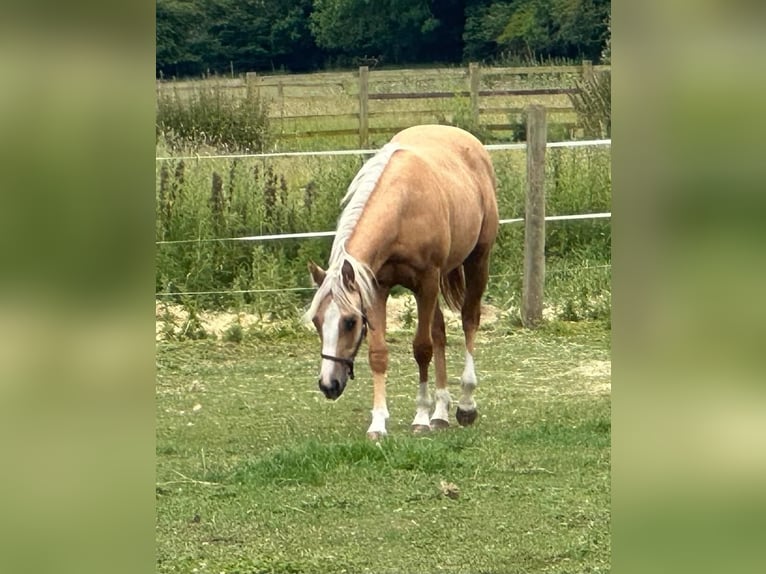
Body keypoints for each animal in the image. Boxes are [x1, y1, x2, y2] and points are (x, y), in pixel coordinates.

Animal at [304, 124, 500, 438]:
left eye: (350, 322)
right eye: (316, 321)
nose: (328, 385)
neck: (403, 208)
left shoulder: (427, 282)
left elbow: (422, 348)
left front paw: (420, 417)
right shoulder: (376, 288)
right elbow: (379, 353)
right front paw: (378, 423)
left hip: (477, 261)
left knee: (469, 320)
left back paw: (465, 404)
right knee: (440, 332)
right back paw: (440, 412)